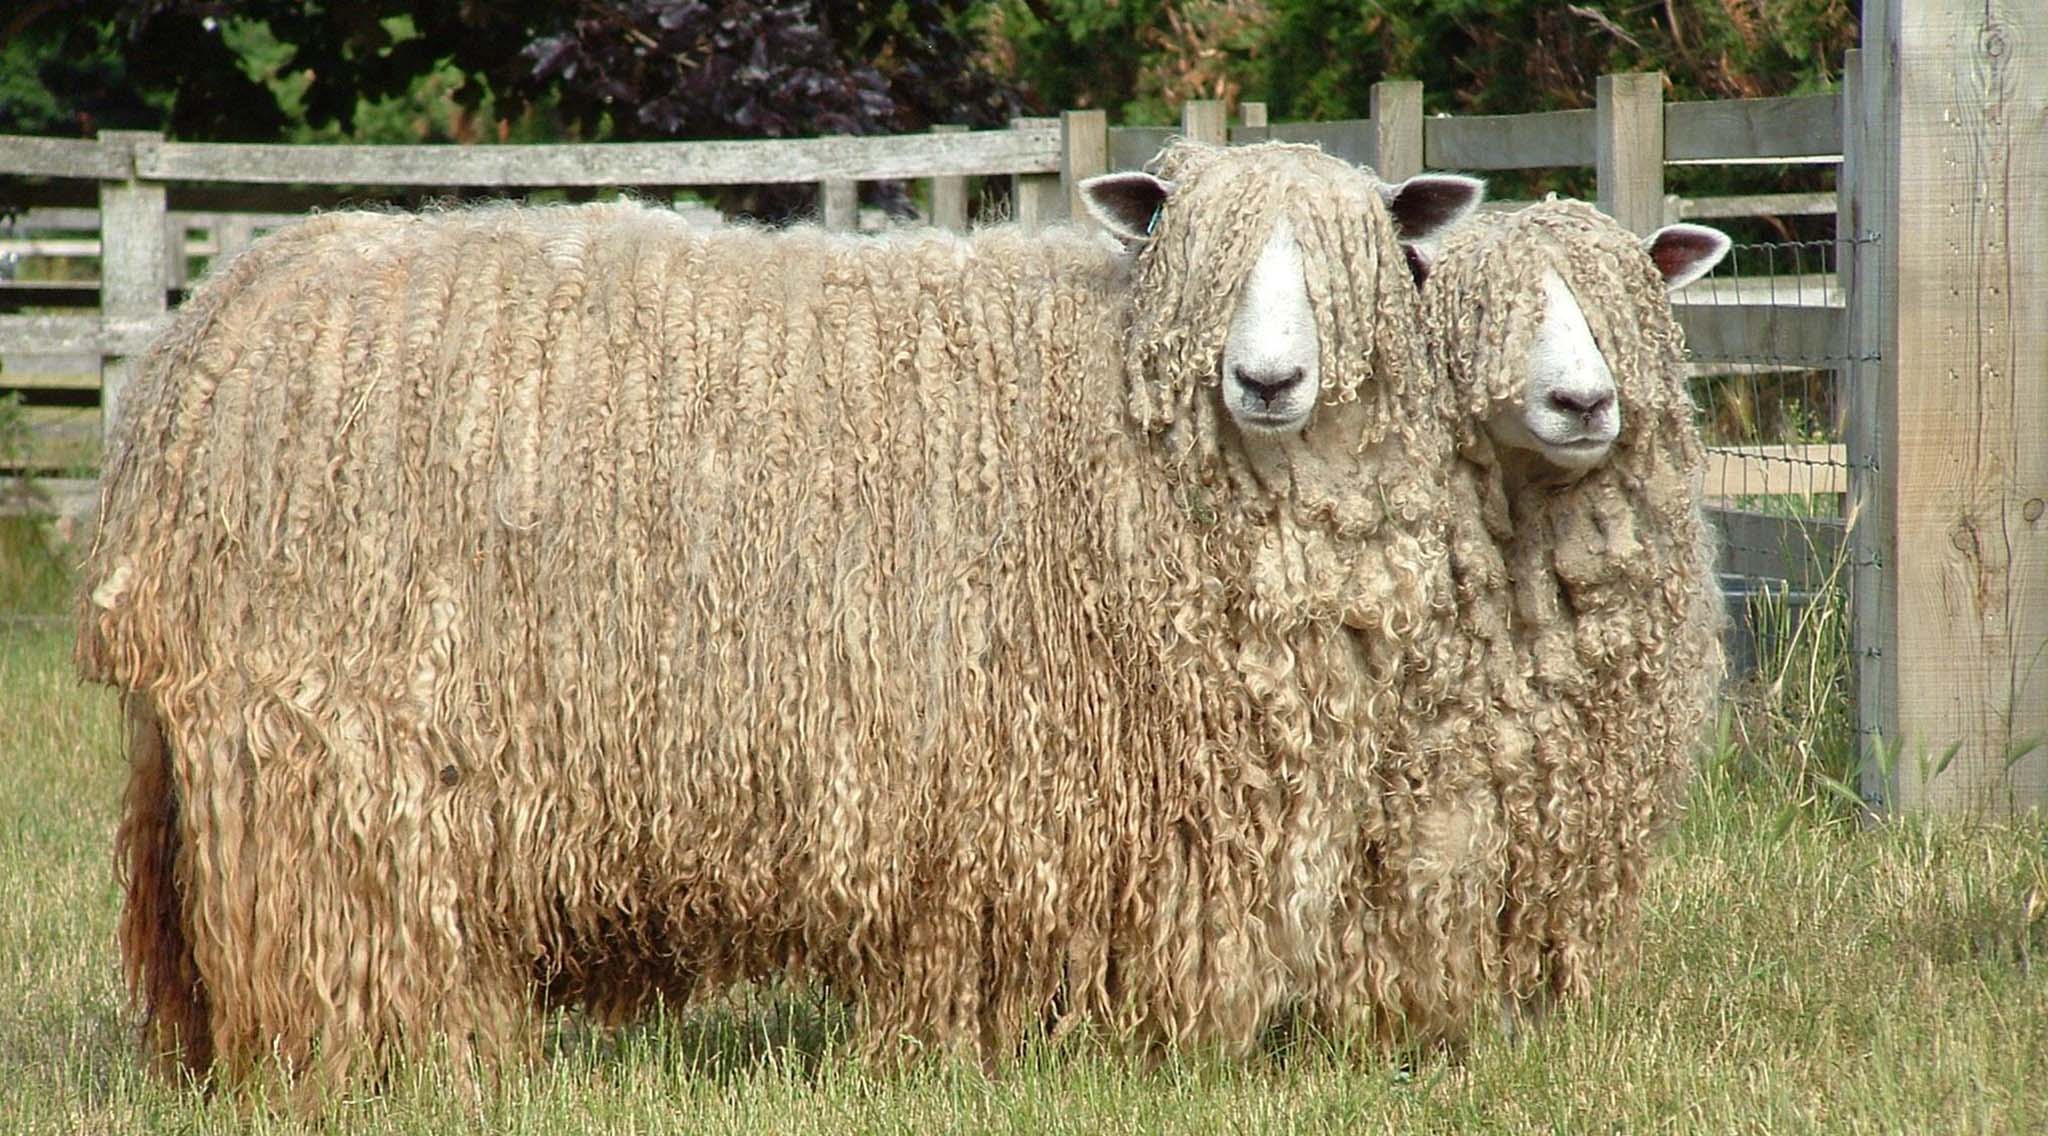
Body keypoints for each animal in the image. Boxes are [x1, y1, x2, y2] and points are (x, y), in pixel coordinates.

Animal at [79, 142, 1490, 1097]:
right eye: (1196, 262)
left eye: (1361, 266)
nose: (1267, 377)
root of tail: (207, 335)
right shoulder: (990, 778)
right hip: (337, 749)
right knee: (355, 930)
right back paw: (409, 1067)